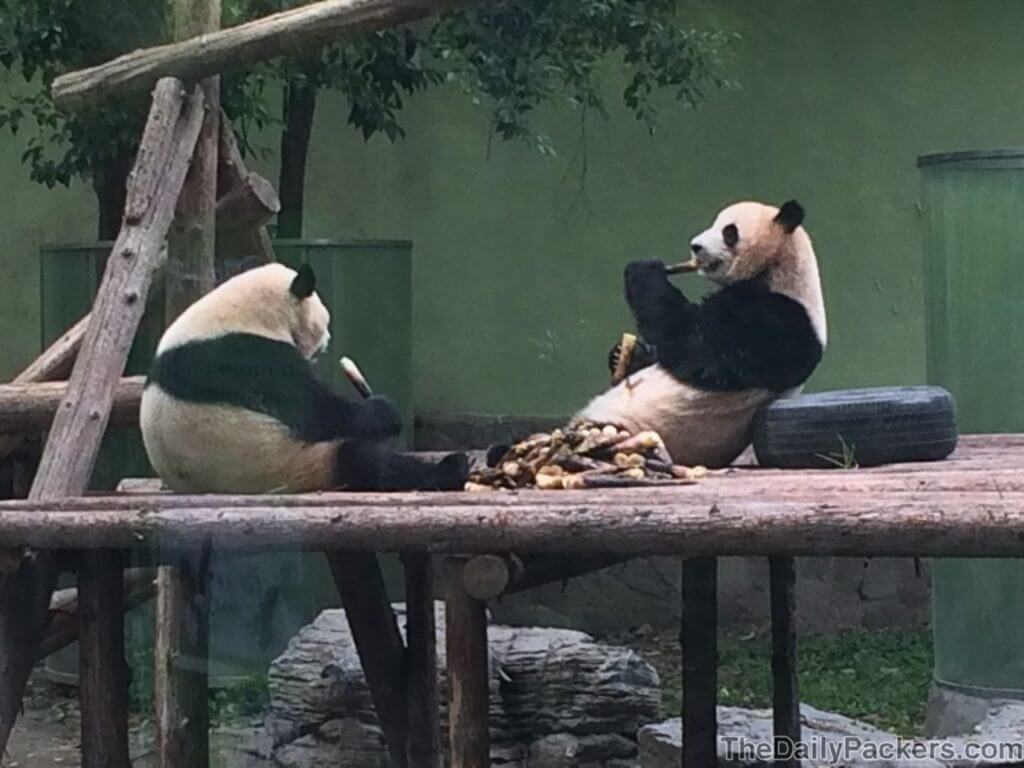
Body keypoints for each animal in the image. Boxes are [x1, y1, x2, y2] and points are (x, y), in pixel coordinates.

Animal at [139, 262, 468, 493]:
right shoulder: (249, 359)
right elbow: (317, 412)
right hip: (287, 465)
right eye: (324, 319)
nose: (328, 339)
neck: (243, 313)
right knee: (362, 460)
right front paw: (383, 410)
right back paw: (452, 468)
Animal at [574, 200, 827, 468]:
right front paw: (623, 354)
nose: (695, 246)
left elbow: (693, 344)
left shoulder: (778, 323)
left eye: (729, 232)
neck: (779, 270)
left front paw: (645, 269)